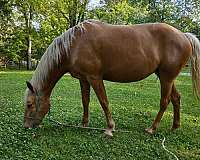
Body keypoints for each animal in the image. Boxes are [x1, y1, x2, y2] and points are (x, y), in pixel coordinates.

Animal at [23, 19, 200, 136]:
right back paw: (175, 126)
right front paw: (84, 124)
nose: (26, 126)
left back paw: (152, 128)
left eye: (29, 104)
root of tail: (184, 36)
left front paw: (109, 128)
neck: (74, 45)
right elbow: (85, 101)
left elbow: (104, 102)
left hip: (166, 78)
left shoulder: (95, 78)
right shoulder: (83, 79)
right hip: (166, 77)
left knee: (165, 101)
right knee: (176, 98)